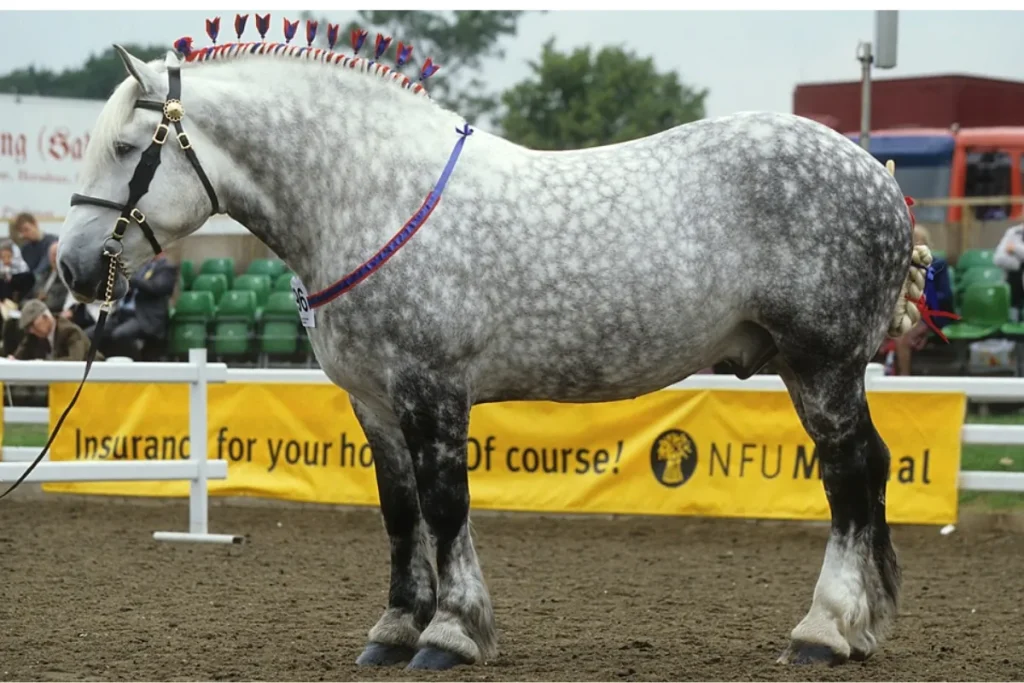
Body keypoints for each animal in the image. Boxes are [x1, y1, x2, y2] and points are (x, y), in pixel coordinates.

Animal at [56, 26, 933, 671]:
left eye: (130, 147)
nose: (70, 267)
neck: (371, 195)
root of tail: (878, 174)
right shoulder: (374, 404)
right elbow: (400, 513)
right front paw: (393, 630)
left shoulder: (432, 389)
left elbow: (447, 507)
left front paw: (450, 634)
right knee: (869, 472)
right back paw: (860, 627)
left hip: (822, 366)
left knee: (850, 479)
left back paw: (823, 630)